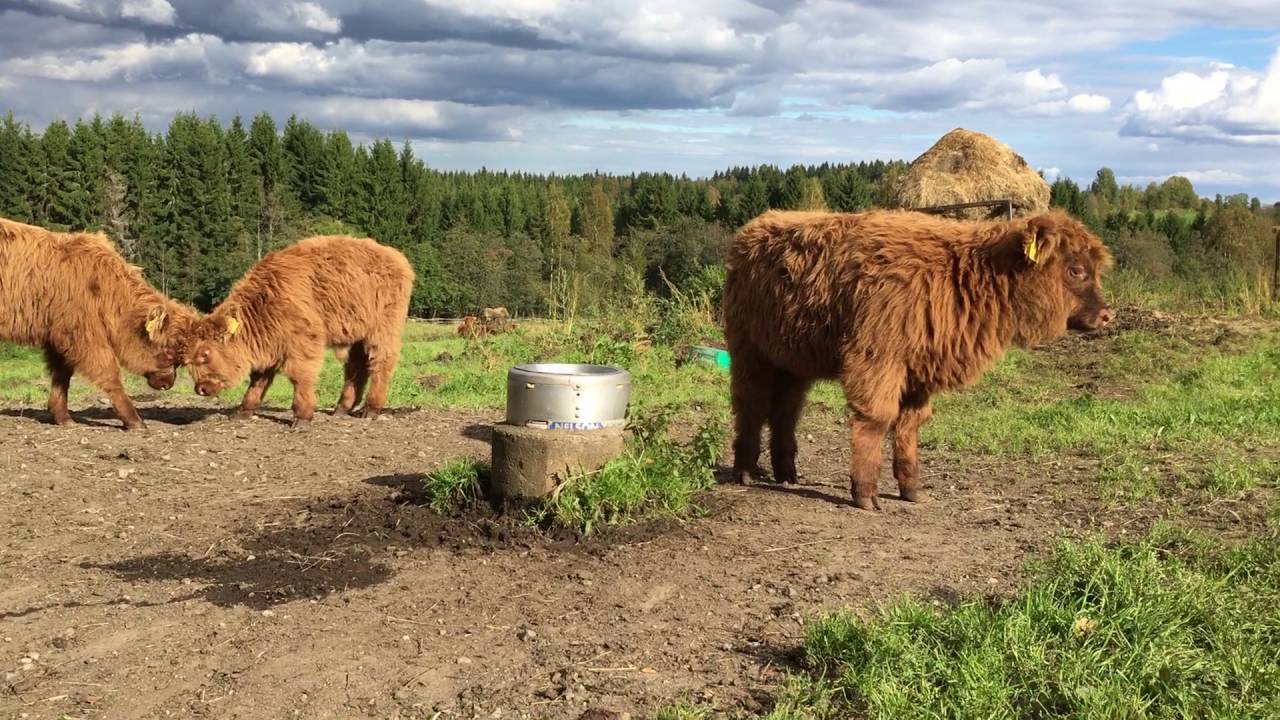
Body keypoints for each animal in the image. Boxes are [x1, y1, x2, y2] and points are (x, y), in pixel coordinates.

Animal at [0, 217, 197, 430]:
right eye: (168, 351)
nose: (168, 383)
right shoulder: (82, 333)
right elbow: (109, 372)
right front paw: (134, 420)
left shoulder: (59, 334)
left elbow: (62, 376)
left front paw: (64, 418)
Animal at [181, 235, 414, 428]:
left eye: (205, 354)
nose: (200, 388)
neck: (264, 302)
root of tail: (396, 257)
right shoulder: (270, 344)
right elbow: (259, 379)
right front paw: (243, 411)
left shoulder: (302, 343)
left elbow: (300, 377)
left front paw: (302, 417)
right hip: (358, 334)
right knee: (356, 367)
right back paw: (341, 408)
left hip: (383, 329)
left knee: (381, 362)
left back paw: (371, 409)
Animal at [723, 209, 1113, 510]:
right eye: (1076, 270)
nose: (1107, 315)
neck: (965, 277)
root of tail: (754, 227)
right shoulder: (877, 360)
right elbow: (877, 420)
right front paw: (865, 494)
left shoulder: (921, 372)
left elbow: (910, 425)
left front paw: (912, 489)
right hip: (749, 352)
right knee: (751, 404)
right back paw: (745, 470)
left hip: (793, 361)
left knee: (785, 410)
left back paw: (787, 473)